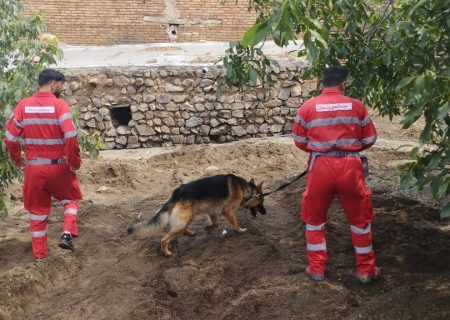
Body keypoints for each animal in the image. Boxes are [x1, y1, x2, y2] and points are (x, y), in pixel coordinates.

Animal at [126, 174, 266, 256]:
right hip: (185, 218)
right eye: (262, 202)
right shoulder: (228, 211)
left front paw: (208, 228)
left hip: (188, 216)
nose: (265, 212)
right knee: (165, 239)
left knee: (181, 230)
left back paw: (190, 233)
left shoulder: (212, 211)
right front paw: (241, 230)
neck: (247, 190)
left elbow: (215, 224)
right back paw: (166, 252)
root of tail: (177, 192)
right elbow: (235, 223)